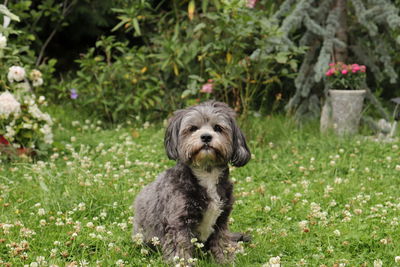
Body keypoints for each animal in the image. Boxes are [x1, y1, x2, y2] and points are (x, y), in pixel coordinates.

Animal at [134, 101, 250, 264]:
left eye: (218, 128)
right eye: (193, 128)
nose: (206, 137)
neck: (206, 173)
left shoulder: (221, 221)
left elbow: (221, 242)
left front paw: (226, 260)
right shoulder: (179, 222)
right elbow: (180, 248)